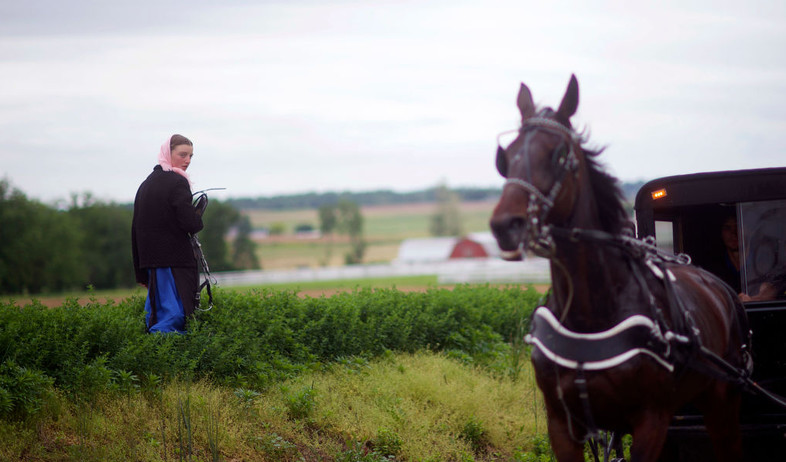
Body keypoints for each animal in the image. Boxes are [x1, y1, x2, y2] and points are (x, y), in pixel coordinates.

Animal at [486, 74, 752, 460]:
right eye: (505, 157)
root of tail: (718, 286)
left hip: (722, 402)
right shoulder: (562, 423)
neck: (588, 312)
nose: (506, 225)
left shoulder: (652, 420)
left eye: (559, 154)